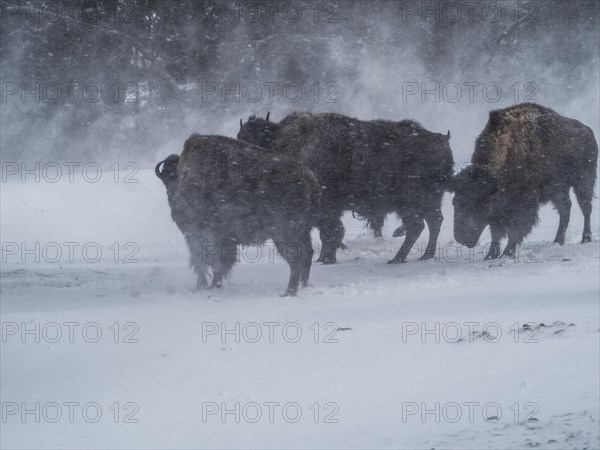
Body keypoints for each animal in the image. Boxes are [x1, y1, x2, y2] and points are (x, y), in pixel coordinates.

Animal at [157, 134, 322, 296]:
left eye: (168, 182)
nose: (176, 211)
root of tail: (308, 177)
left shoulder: (199, 234)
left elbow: (205, 262)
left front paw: (203, 288)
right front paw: (213, 286)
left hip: (285, 233)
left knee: (296, 259)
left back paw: (289, 292)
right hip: (301, 231)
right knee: (306, 255)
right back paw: (303, 287)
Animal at [237, 112, 452, 266]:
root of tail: (441, 140)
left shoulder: (327, 209)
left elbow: (331, 232)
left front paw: (327, 259)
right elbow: (330, 232)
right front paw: (324, 258)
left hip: (412, 203)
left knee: (419, 226)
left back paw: (398, 259)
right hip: (427, 202)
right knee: (433, 222)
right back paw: (423, 256)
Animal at [454, 101, 596, 256]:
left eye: (480, 207)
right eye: (455, 203)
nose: (460, 239)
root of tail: (589, 131)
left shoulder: (524, 203)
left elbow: (516, 229)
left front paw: (507, 253)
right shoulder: (500, 210)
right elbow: (496, 231)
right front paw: (491, 255)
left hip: (584, 181)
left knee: (586, 208)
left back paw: (586, 239)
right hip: (558, 190)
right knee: (566, 208)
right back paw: (558, 241)